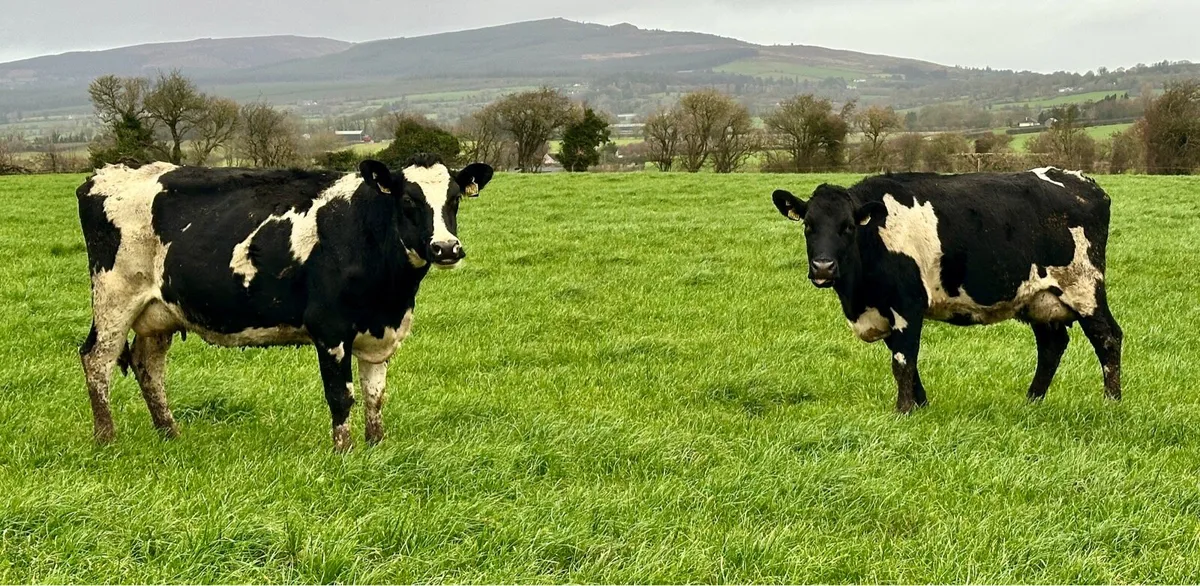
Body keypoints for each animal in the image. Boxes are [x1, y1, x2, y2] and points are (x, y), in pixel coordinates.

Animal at [76, 155, 493, 450]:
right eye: (408, 199)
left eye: (454, 199)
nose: (446, 248)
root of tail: (106, 174)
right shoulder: (330, 329)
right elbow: (341, 396)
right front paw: (344, 452)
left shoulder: (380, 333)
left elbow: (375, 396)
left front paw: (377, 447)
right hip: (115, 297)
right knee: (96, 359)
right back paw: (106, 438)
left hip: (158, 312)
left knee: (149, 366)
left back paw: (169, 433)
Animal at [771, 167, 1122, 413]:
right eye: (808, 226)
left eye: (847, 228)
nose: (823, 267)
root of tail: (1081, 181)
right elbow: (908, 363)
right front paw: (921, 405)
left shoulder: (907, 305)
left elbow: (903, 361)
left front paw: (903, 411)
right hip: (1039, 298)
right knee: (1051, 346)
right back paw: (1031, 401)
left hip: (1084, 288)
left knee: (1107, 338)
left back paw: (1111, 402)